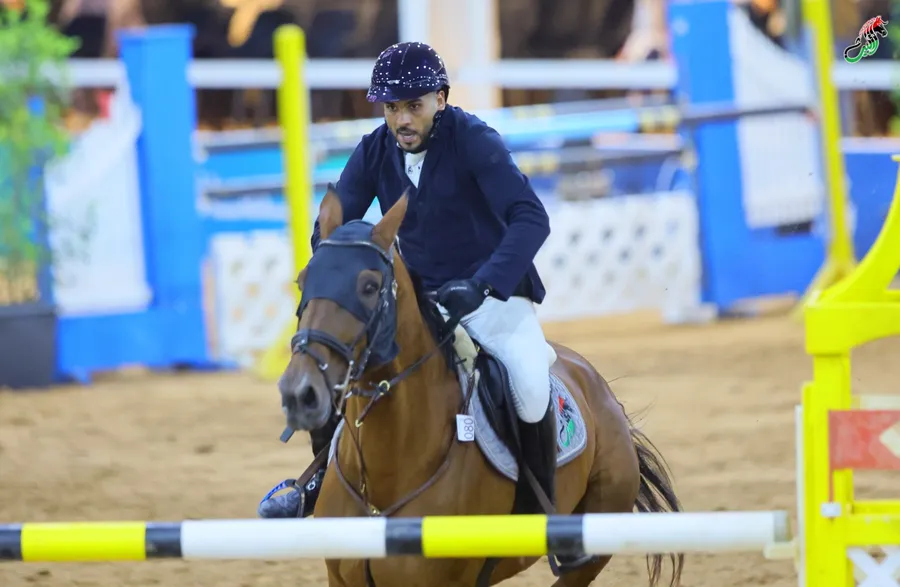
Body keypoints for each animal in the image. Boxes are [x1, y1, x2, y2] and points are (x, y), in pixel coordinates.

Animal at [278, 186, 685, 587]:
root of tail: (597, 385)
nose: (300, 392)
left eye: (370, 286)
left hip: (590, 550)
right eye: (302, 280)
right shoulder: (342, 578)